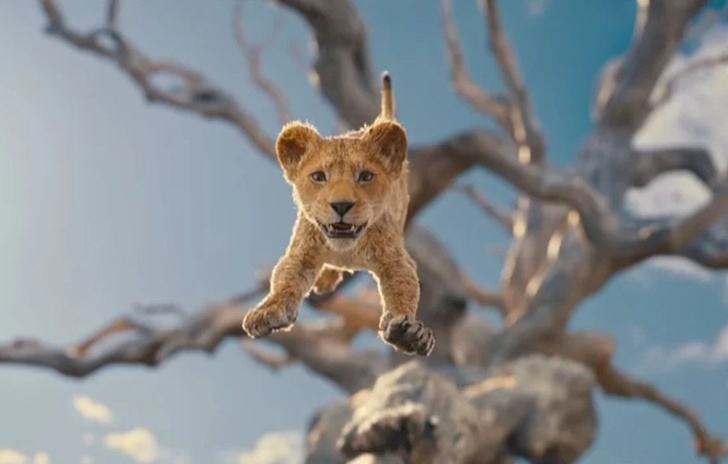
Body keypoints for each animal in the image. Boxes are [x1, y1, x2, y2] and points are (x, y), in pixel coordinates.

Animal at [242, 72, 435, 356]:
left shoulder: (397, 260)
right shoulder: (301, 253)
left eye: (365, 176)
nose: (341, 205)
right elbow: (284, 280)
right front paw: (269, 312)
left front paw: (409, 334)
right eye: (319, 176)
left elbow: (403, 289)